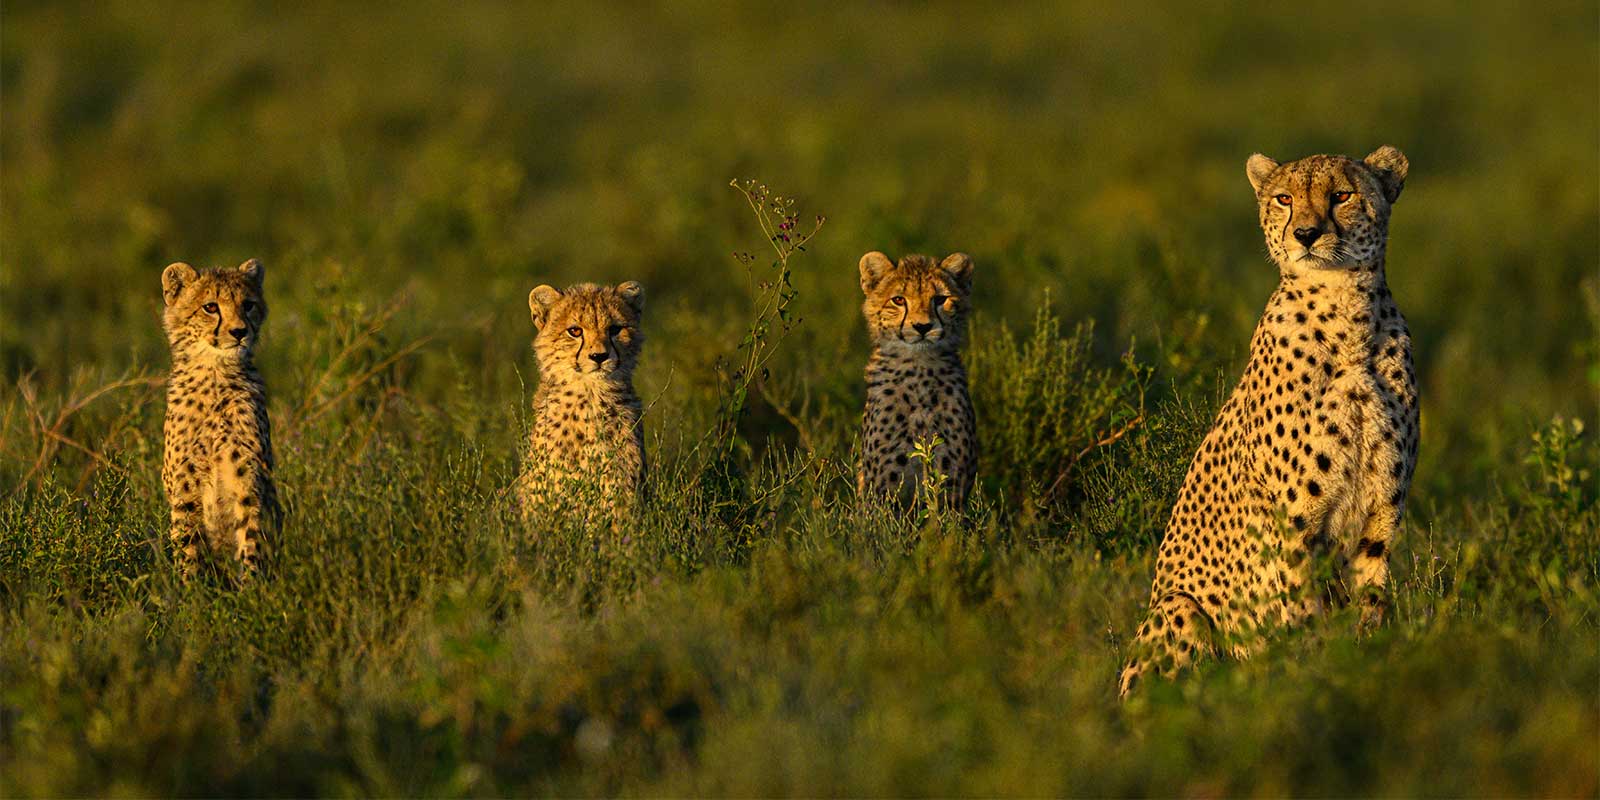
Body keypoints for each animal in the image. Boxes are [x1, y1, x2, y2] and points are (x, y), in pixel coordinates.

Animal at [160, 258, 280, 581]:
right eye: (211, 307)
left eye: (248, 305)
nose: (239, 332)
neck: (216, 373)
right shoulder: (185, 482)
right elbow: (187, 543)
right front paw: (190, 588)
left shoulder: (248, 474)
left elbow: (251, 532)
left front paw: (253, 585)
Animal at [856, 251, 978, 511]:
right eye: (898, 300)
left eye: (940, 299)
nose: (923, 326)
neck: (919, 370)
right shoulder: (882, 489)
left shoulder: (952, 486)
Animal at [1118, 146, 1420, 698]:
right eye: (1284, 198)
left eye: (1341, 195)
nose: (1306, 233)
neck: (1347, 313)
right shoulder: (1294, 523)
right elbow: (1301, 613)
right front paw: (1314, 673)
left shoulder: (1381, 517)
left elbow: (1371, 605)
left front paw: (1368, 662)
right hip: (1177, 607)